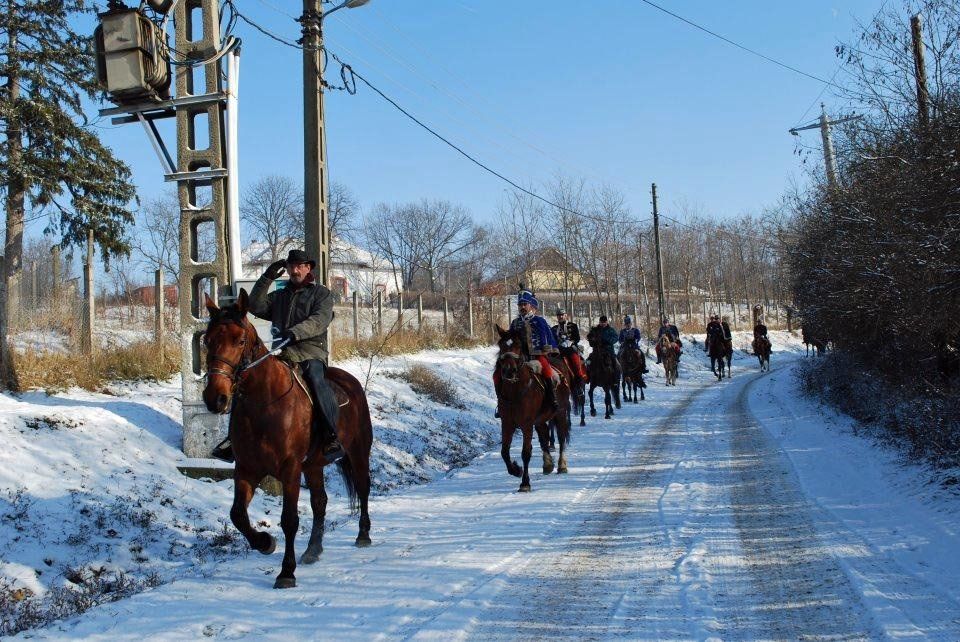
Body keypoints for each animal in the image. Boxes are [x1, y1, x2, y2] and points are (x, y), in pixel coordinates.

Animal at [202, 290, 373, 589]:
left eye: (240, 340)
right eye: (207, 340)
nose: (216, 398)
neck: (263, 404)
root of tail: (349, 380)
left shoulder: (290, 469)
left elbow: (289, 520)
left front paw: (286, 572)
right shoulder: (246, 469)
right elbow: (237, 514)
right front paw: (264, 542)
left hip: (357, 451)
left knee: (363, 486)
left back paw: (363, 534)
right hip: (314, 465)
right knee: (320, 502)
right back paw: (313, 550)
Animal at [494, 325, 571, 492]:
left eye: (518, 345)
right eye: (501, 345)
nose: (508, 371)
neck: (515, 391)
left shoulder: (527, 424)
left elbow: (526, 453)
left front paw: (525, 483)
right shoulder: (507, 423)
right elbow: (504, 451)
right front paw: (516, 470)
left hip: (560, 412)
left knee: (561, 437)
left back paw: (561, 465)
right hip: (541, 420)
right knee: (544, 437)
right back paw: (548, 464)